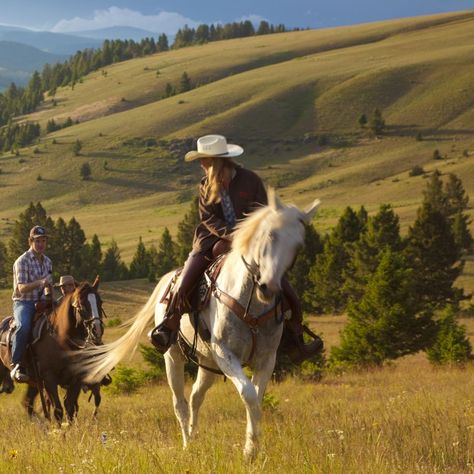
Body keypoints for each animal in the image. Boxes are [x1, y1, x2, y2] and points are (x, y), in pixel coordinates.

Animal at [0, 278, 104, 422]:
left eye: (100, 302)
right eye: (81, 303)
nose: (97, 330)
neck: (61, 341)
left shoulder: (76, 380)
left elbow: (70, 408)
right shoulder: (49, 379)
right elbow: (58, 410)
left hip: (34, 382)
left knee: (28, 403)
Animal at [78, 191, 320, 462]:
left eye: (298, 246)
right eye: (270, 235)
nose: (269, 287)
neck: (250, 300)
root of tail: (170, 278)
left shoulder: (266, 359)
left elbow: (256, 398)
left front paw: (252, 448)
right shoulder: (226, 354)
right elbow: (248, 394)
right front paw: (249, 452)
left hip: (207, 363)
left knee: (195, 396)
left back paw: (194, 437)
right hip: (174, 357)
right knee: (180, 403)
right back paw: (187, 443)